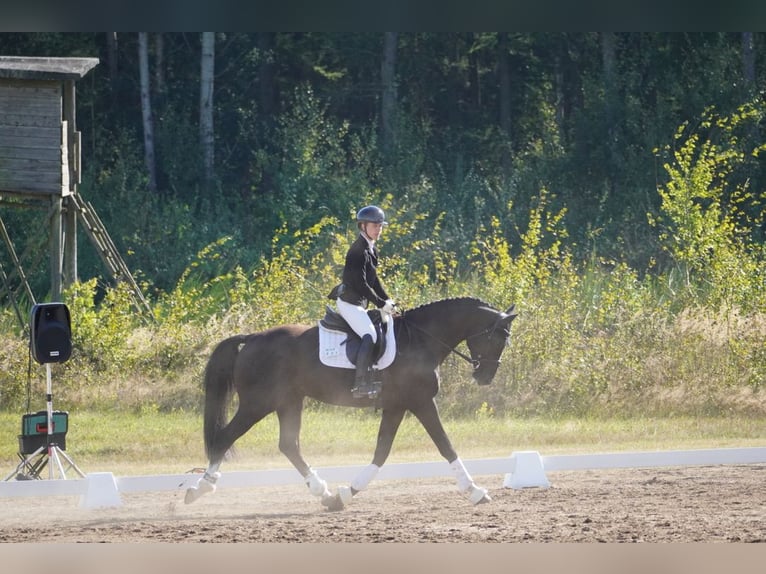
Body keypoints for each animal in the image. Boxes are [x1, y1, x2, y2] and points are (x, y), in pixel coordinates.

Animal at [185, 300, 520, 510]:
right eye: (498, 337)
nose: (485, 376)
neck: (421, 341)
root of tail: (252, 337)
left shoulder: (397, 406)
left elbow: (381, 452)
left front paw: (345, 494)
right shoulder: (421, 402)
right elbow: (445, 445)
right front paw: (476, 492)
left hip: (289, 401)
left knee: (289, 445)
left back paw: (324, 493)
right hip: (258, 403)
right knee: (225, 438)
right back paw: (198, 489)